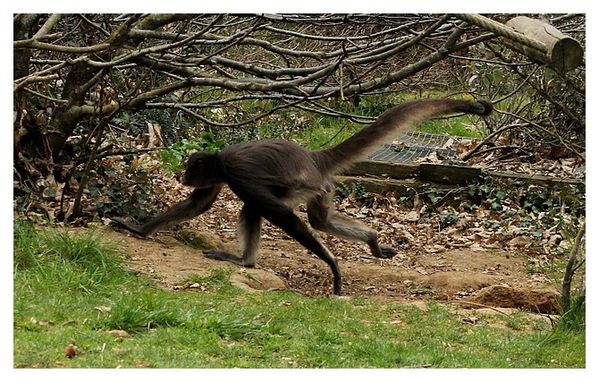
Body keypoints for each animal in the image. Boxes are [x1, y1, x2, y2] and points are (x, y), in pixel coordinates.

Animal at [111, 97, 492, 292]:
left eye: (190, 169)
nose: (183, 175)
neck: (221, 158)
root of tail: (313, 157)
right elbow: (199, 203)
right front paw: (138, 229)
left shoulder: (237, 172)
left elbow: (279, 215)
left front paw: (333, 265)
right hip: (322, 187)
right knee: (319, 220)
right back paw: (371, 239)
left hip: (303, 184)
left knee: (260, 208)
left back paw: (245, 262)